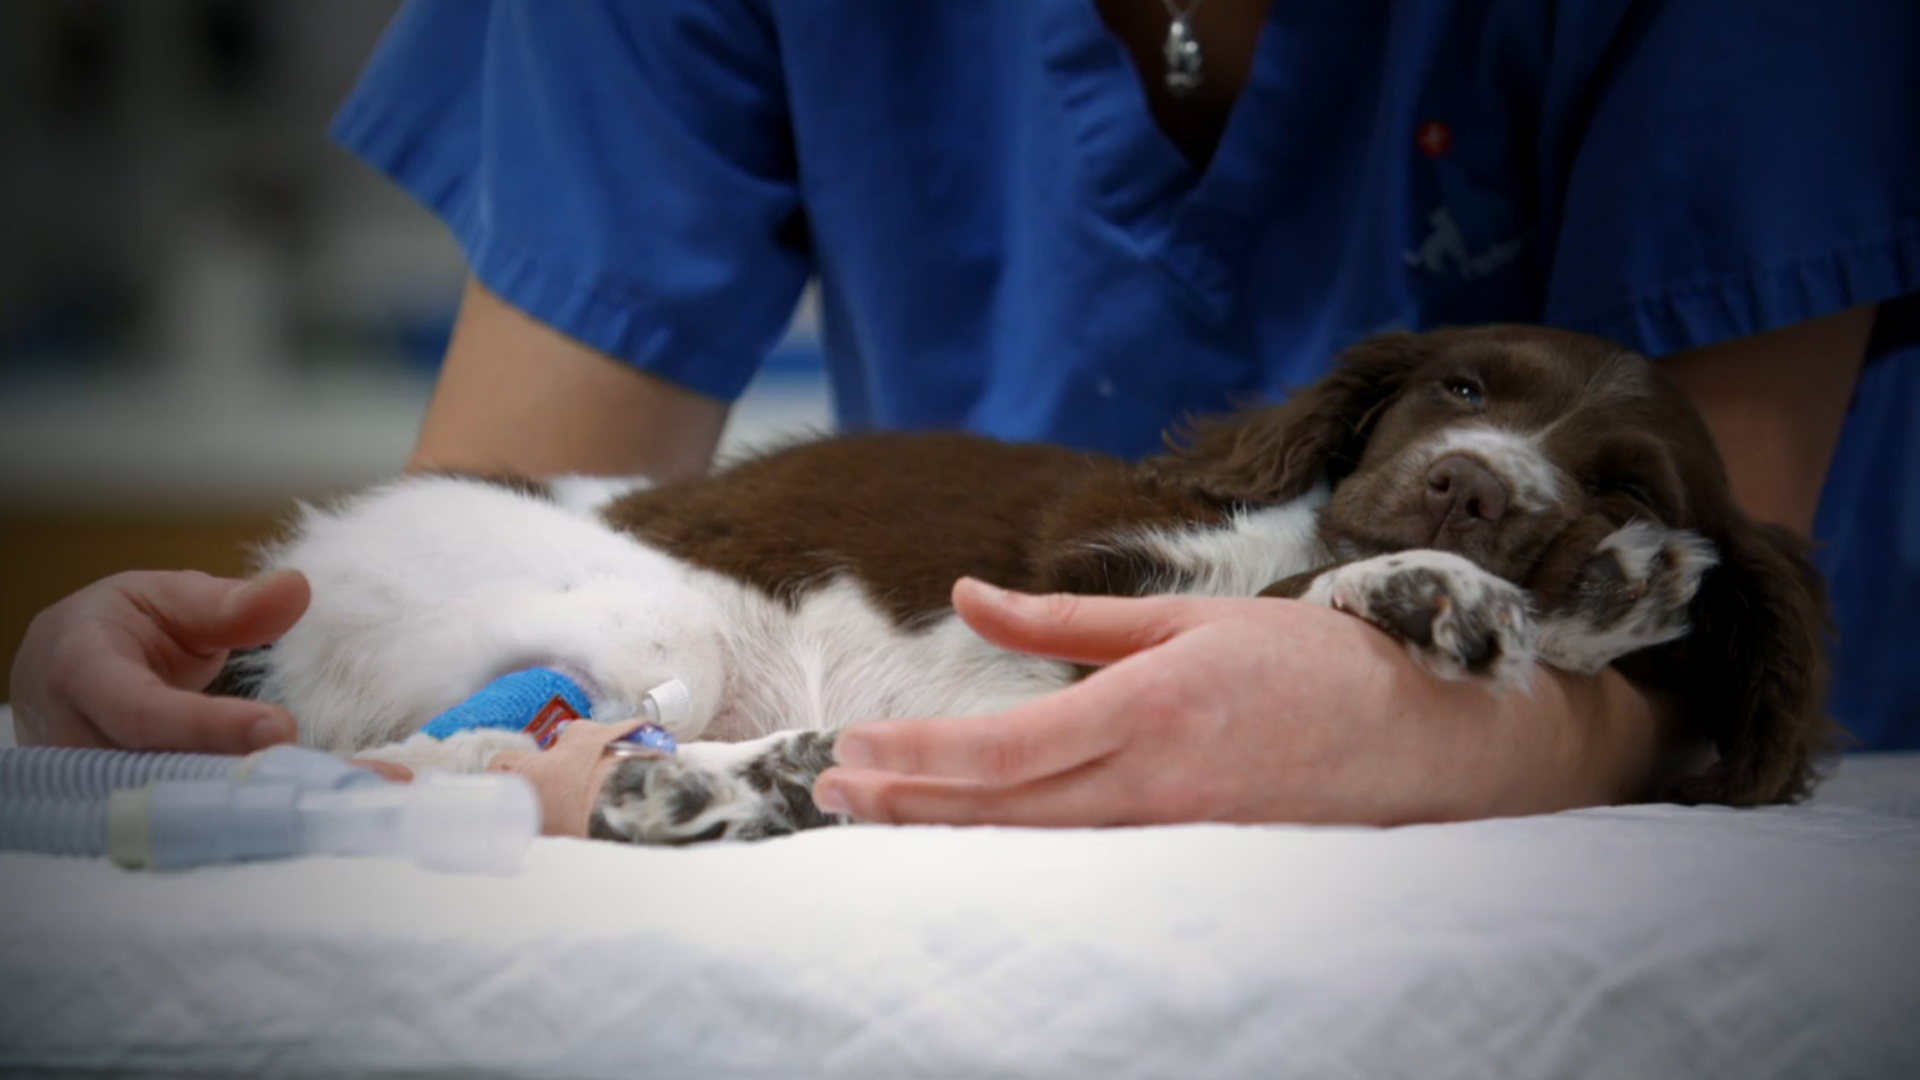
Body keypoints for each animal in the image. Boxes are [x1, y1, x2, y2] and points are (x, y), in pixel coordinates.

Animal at [232, 326, 1835, 841]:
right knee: (456, 754)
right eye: (1458, 387)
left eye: (1635, 481)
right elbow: (1277, 584)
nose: (1472, 486)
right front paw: (1505, 590)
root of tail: (295, 563)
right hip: (648, 616)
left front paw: (1610, 579)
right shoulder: (1094, 560)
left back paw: (743, 784)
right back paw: (691, 787)